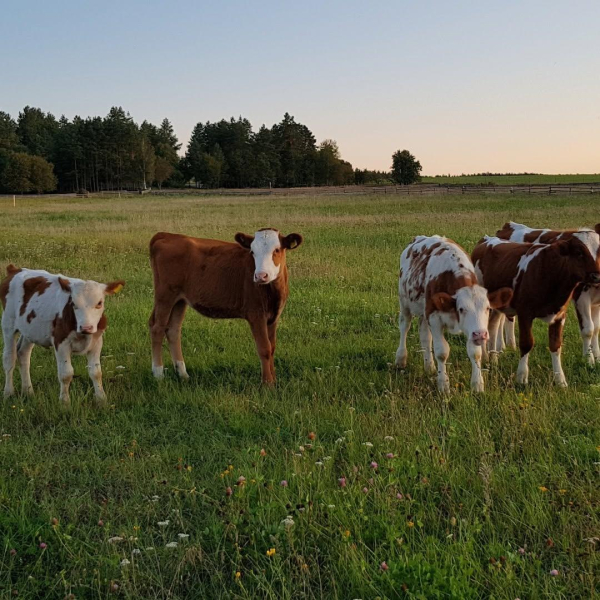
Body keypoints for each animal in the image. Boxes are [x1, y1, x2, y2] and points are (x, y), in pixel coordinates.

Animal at [0, 266, 124, 404]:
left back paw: (28, 391)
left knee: (23, 354)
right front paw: (65, 402)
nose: (86, 327)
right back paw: (8, 393)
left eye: (99, 303)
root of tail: (15, 269)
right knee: (9, 357)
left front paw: (101, 400)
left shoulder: (97, 341)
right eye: (73, 304)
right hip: (8, 323)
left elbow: (96, 372)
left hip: (30, 330)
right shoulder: (60, 342)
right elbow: (66, 374)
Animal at [148, 230, 302, 384]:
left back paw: (183, 374)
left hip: (180, 300)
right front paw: (267, 383)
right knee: (157, 328)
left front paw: (274, 379)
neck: (272, 293)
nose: (260, 276)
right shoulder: (256, 315)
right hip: (165, 296)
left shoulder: (273, 317)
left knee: (173, 329)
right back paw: (158, 374)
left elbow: (272, 347)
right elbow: (264, 349)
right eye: (252, 251)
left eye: (277, 250)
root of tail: (168, 235)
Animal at [396, 234, 512, 394]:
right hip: (404, 302)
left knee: (424, 336)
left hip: (424, 311)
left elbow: (475, 352)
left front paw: (477, 385)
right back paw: (401, 358)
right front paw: (443, 385)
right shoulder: (434, 318)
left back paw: (429, 366)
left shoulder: (471, 329)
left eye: (488, 308)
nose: (481, 334)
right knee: (404, 326)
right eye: (461, 309)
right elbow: (442, 352)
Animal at [474, 234, 600, 384]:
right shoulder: (525, 313)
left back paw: (492, 359)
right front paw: (521, 377)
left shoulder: (559, 316)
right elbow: (526, 343)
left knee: (493, 326)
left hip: (499, 304)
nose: (597, 276)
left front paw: (560, 379)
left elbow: (556, 345)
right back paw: (485, 357)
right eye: (579, 252)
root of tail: (487, 239)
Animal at [494, 220, 600, 360]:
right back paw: (500, 347)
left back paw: (511, 345)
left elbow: (597, 328)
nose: (596, 276)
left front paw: (597, 357)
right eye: (579, 253)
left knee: (508, 317)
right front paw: (589, 360)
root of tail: (509, 225)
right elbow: (588, 329)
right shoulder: (581, 297)